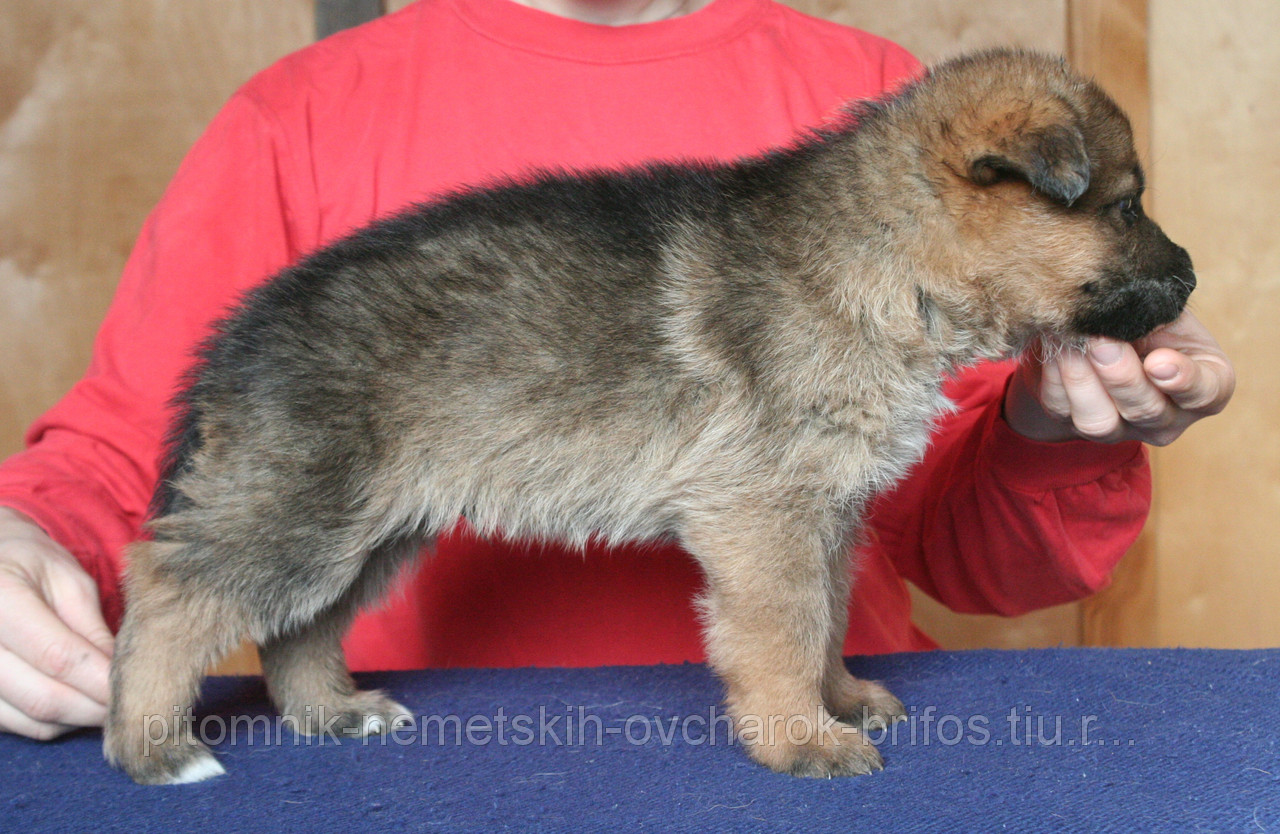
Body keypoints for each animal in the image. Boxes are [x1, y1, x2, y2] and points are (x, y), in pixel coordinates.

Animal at [104, 50, 1192, 782]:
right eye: (1124, 207)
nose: (1186, 278)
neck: (886, 255)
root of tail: (236, 335)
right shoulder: (763, 520)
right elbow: (786, 630)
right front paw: (802, 737)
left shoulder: (825, 513)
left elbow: (830, 618)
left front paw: (838, 700)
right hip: (301, 514)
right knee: (168, 593)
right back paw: (151, 745)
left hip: (370, 530)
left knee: (299, 628)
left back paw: (330, 714)